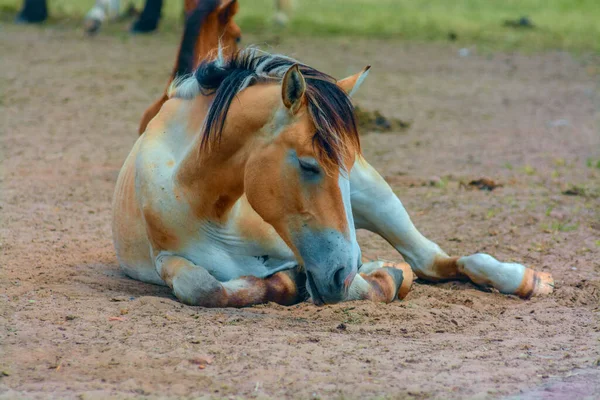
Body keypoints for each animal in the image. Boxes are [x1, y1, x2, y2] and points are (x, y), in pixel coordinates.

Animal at [111, 47, 552, 310]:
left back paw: (526, 279)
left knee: (430, 258)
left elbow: (368, 282)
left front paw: (386, 275)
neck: (209, 205)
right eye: (309, 166)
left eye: (345, 166)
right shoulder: (169, 260)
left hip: (376, 197)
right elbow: (204, 287)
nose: (340, 269)